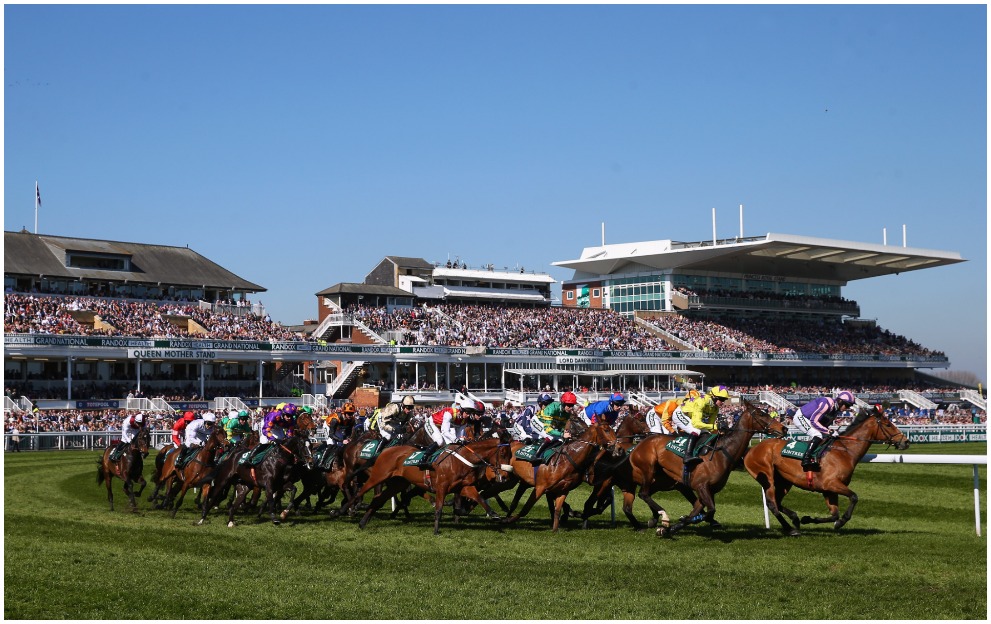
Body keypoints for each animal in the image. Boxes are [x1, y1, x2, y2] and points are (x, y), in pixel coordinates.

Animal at [352, 428, 516, 536]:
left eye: (510, 455)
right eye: (502, 453)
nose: (506, 476)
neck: (462, 459)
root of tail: (386, 450)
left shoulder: (463, 486)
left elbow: (479, 497)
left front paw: (493, 514)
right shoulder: (441, 487)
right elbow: (438, 509)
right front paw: (436, 530)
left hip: (397, 483)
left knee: (378, 499)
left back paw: (362, 522)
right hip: (378, 476)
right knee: (360, 492)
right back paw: (348, 509)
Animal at [592, 402, 788, 532]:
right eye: (761, 414)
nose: (784, 428)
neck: (721, 452)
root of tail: (638, 445)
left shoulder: (700, 490)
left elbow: (699, 510)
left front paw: (676, 524)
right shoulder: (698, 486)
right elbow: (707, 511)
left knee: (631, 503)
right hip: (647, 470)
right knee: (643, 494)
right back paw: (662, 516)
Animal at [748, 404, 912, 536]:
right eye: (888, 424)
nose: (906, 442)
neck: (845, 451)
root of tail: (752, 449)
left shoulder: (828, 490)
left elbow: (834, 514)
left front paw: (808, 519)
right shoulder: (831, 484)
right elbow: (854, 497)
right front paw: (841, 522)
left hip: (784, 481)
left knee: (777, 502)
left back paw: (795, 519)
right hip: (767, 476)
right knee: (771, 503)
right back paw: (791, 527)